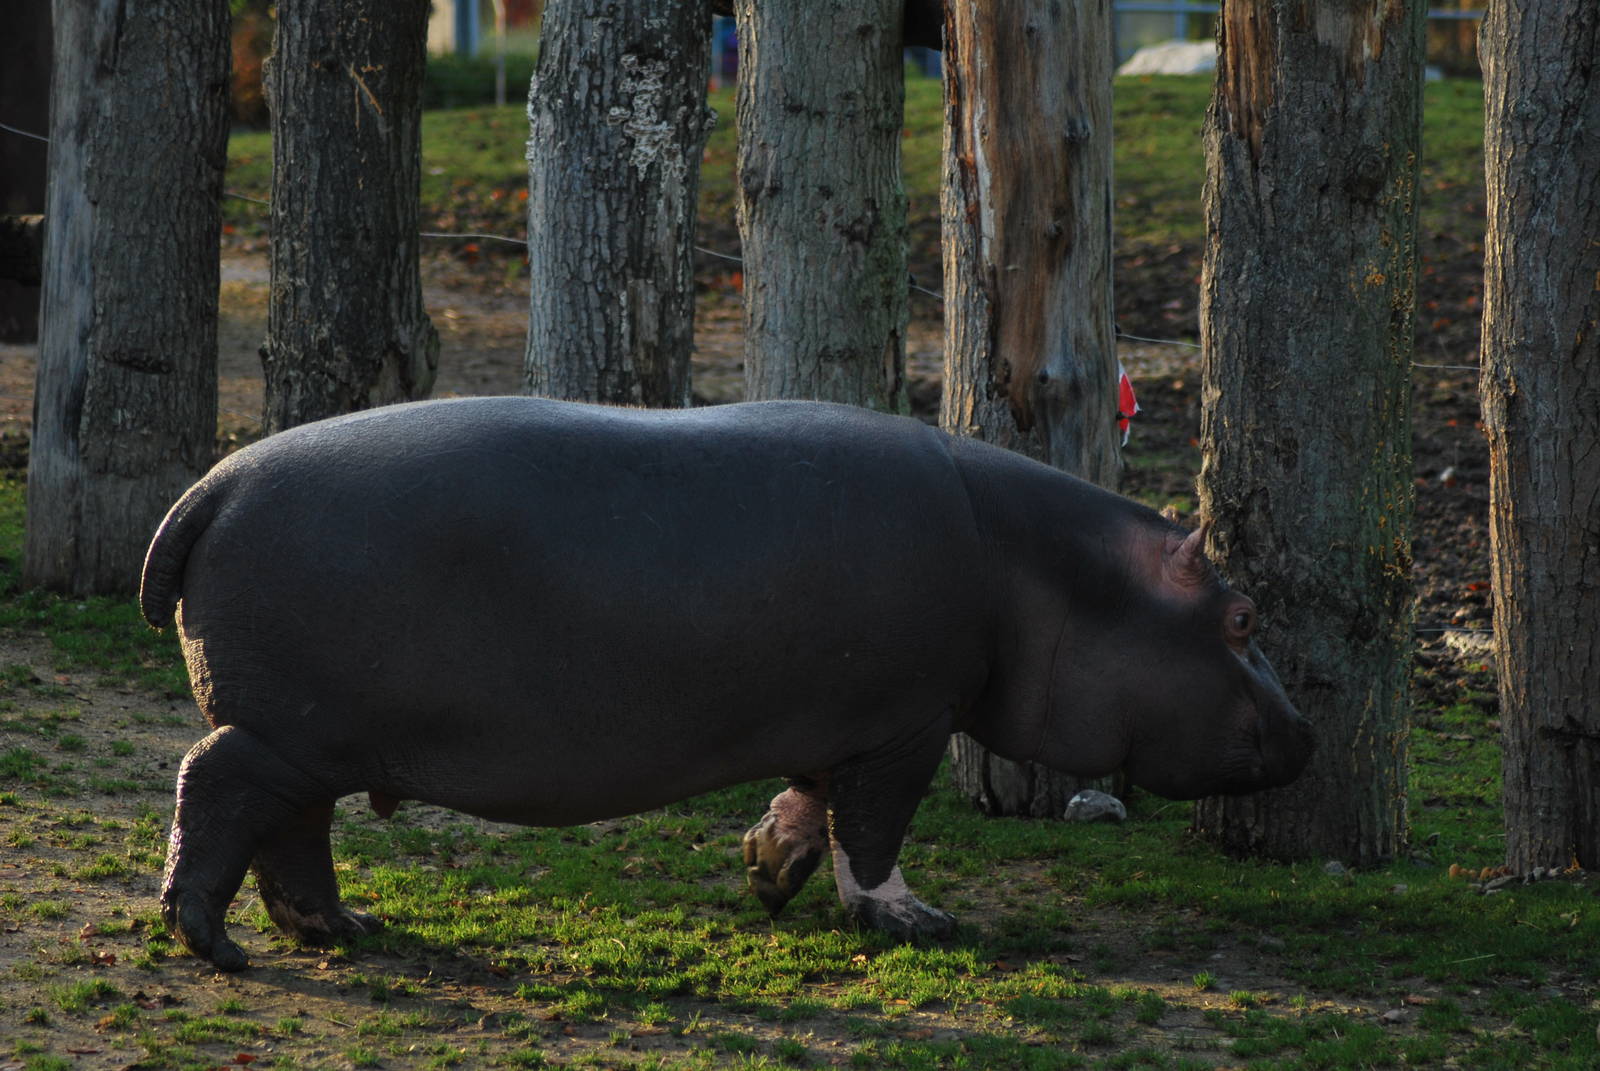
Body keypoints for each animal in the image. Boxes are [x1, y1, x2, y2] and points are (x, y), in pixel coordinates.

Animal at [140, 397, 1312, 971]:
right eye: (1243, 616)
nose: (1307, 732)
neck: (1052, 570)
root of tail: (210, 483)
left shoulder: (842, 721)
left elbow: (809, 802)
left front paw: (765, 872)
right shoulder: (908, 721)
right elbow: (873, 827)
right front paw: (915, 921)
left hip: (317, 742)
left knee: (292, 828)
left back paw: (340, 932)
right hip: (287, 730)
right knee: (215, 783)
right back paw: (215, 946)